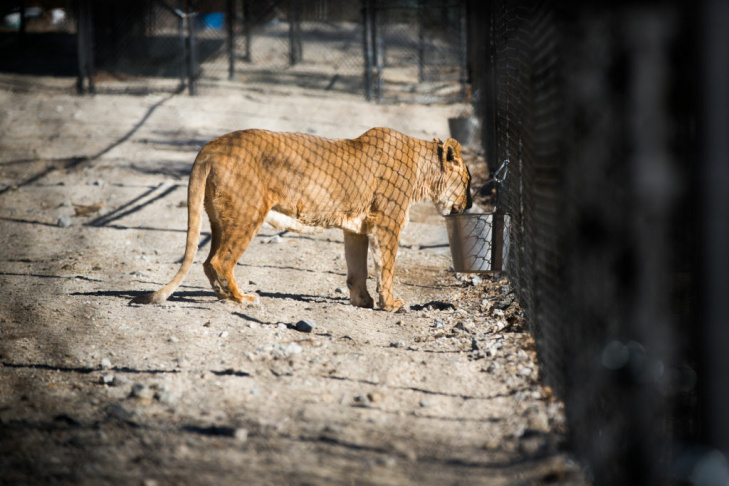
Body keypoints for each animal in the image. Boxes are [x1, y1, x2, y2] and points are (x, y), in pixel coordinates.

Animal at [130, 127, 472, 311]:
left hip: (220, 219)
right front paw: (390, 305)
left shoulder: (357, 228)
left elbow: (357, 269)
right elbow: (385, 268)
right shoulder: (386, 223)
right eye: (468, 182)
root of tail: (209, 147)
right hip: (246, 214)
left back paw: (224, 296)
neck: (422, 170)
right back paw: (242, 299)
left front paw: (362, 301)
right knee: (220, 261)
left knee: (206, 261)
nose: (471, 203)